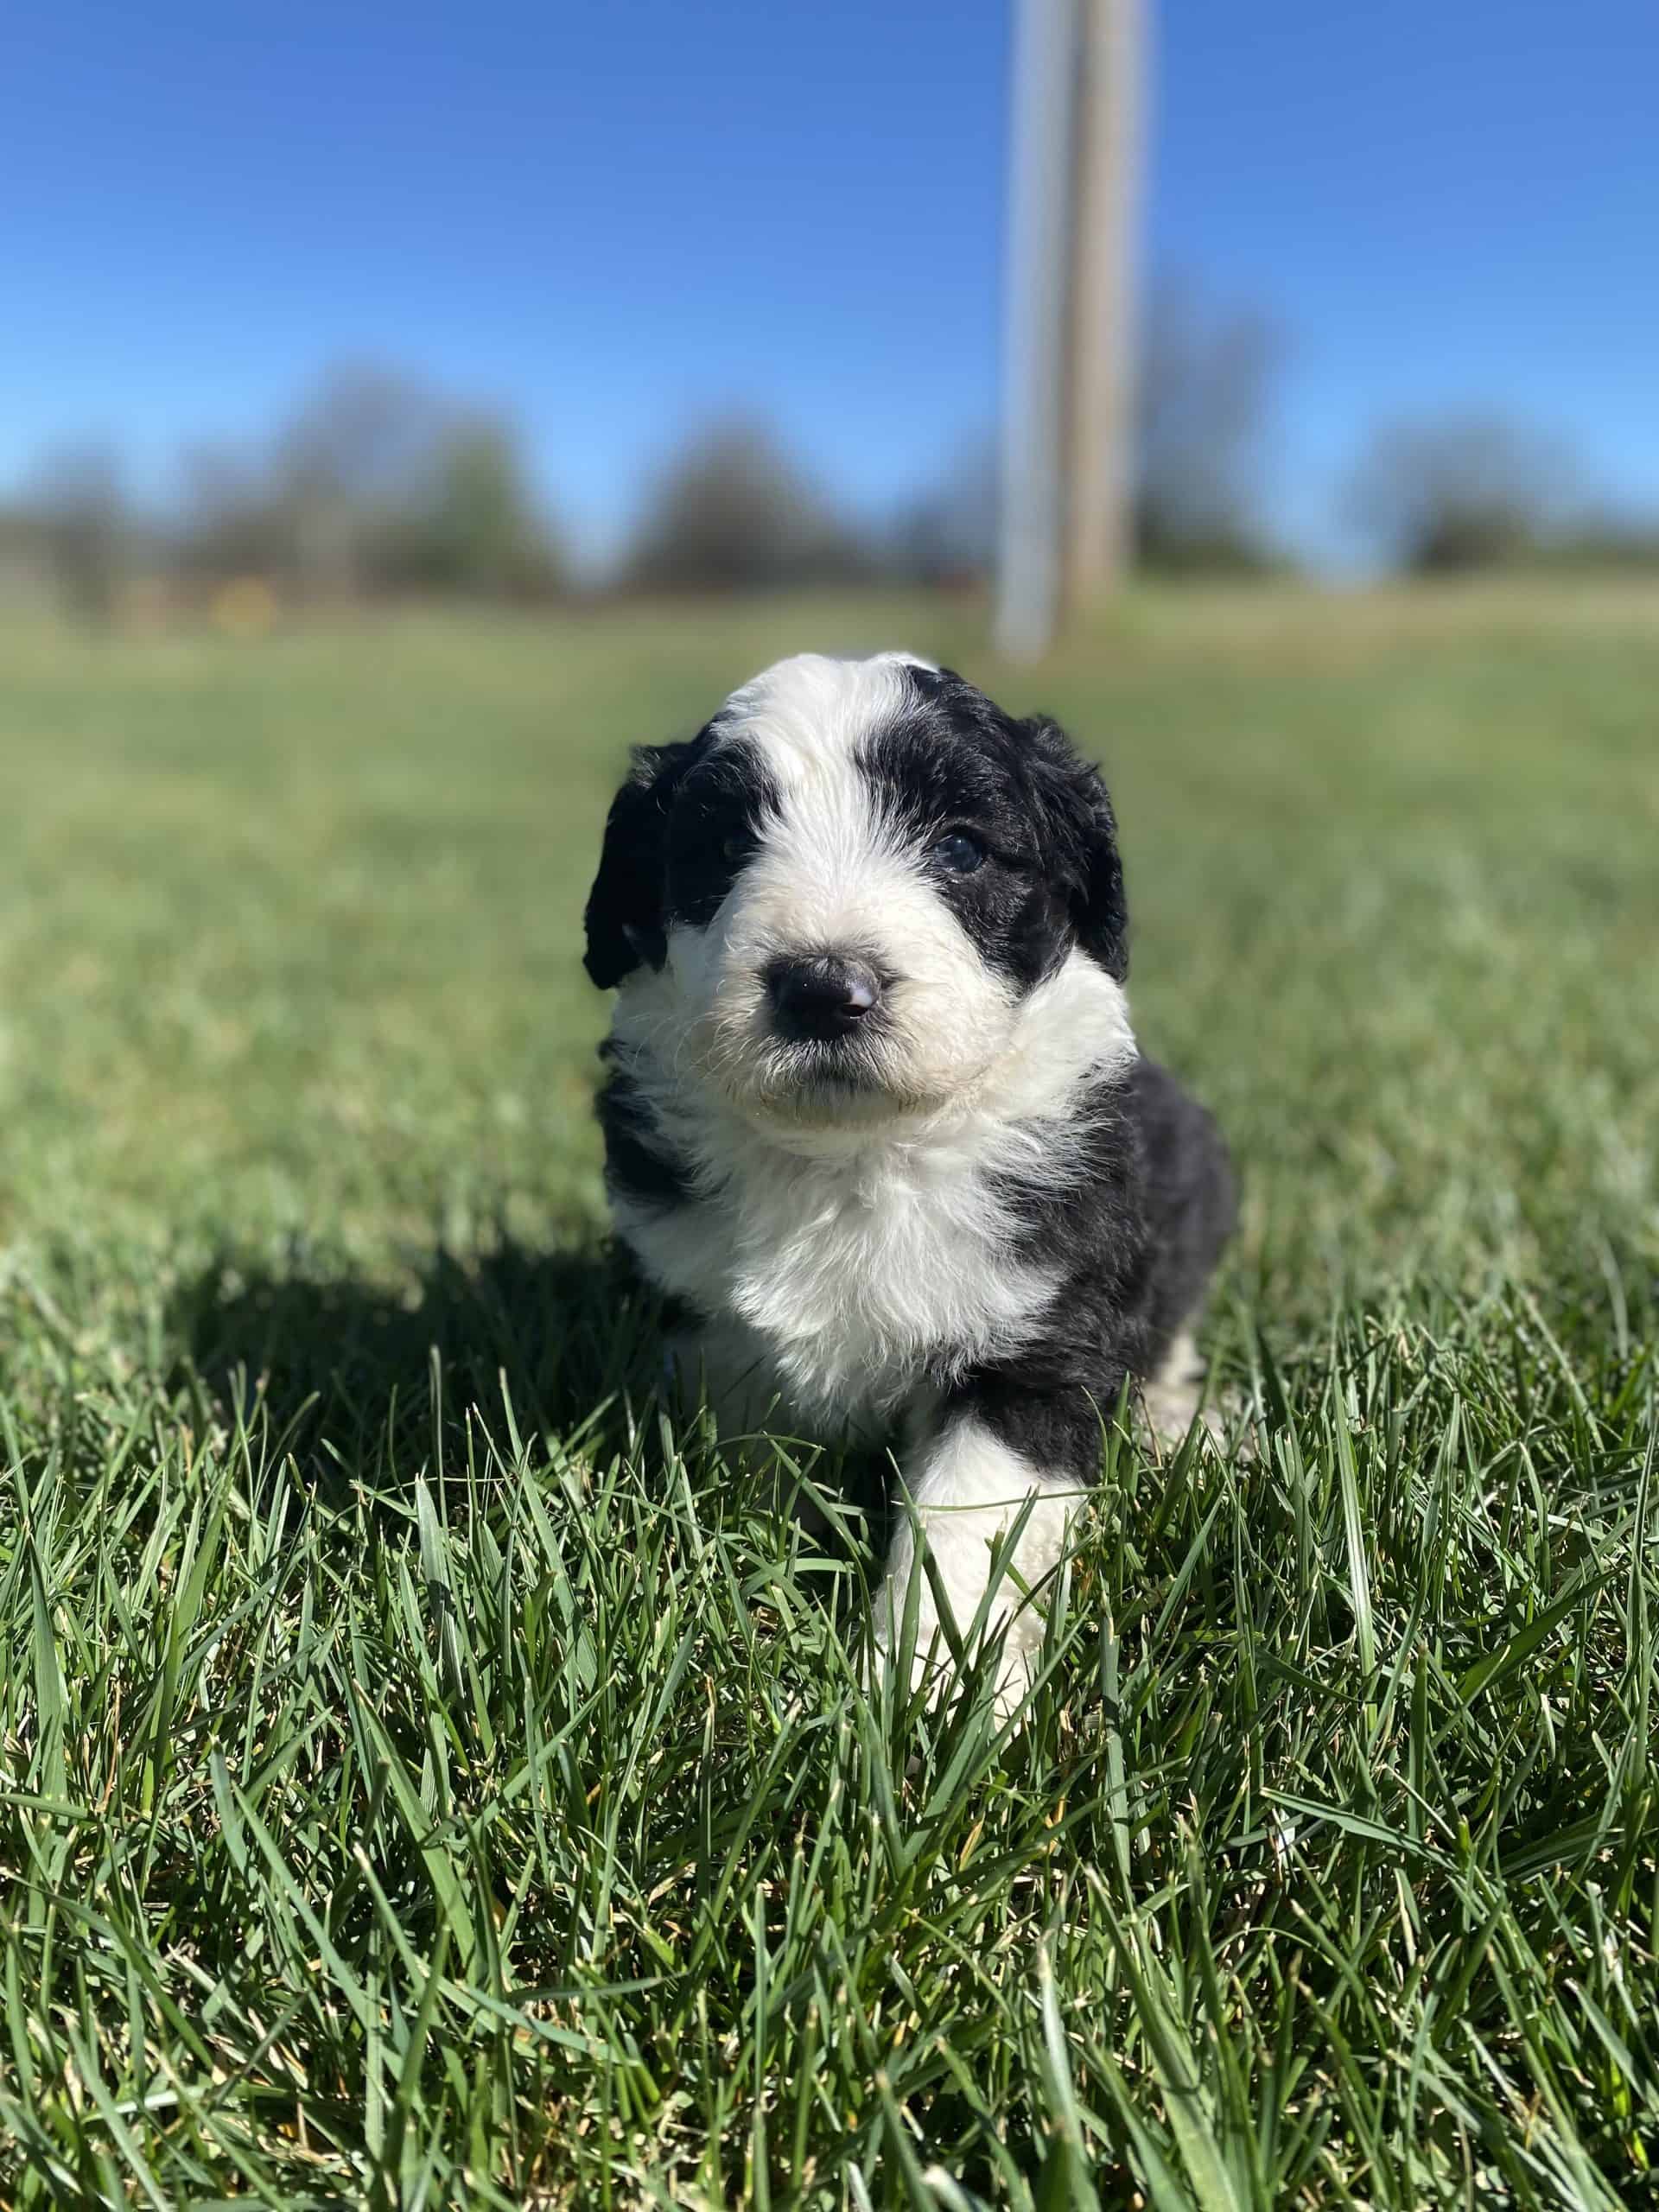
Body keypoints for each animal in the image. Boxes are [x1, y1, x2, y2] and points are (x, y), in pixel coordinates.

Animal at [583, 645, 1238, 1699]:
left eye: (962, 850)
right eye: (722, 849)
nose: (822, 988)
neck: (856, 1158)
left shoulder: (1037, 1335)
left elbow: (963, 1533)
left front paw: (927, 1694)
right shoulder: (707, 1330)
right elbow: (748, 1462)